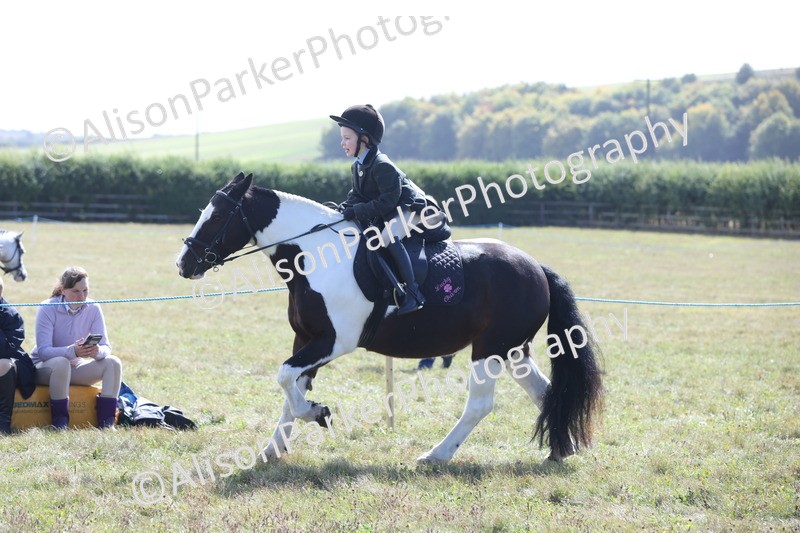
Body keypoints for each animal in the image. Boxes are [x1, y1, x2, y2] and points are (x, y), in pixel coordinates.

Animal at [176, 172, 603, 464]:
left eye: (217, 216)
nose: (184, 264)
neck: (313, 256)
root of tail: (535, 268)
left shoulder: (334, 341)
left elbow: (285, 380)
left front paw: (318, 413)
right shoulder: (307, 340)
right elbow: (289, 390)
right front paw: (273, 449)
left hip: (490, 349)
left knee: (481, 405)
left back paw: (436, 455)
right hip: (513, 350)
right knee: (546, 393)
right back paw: (559, 451)